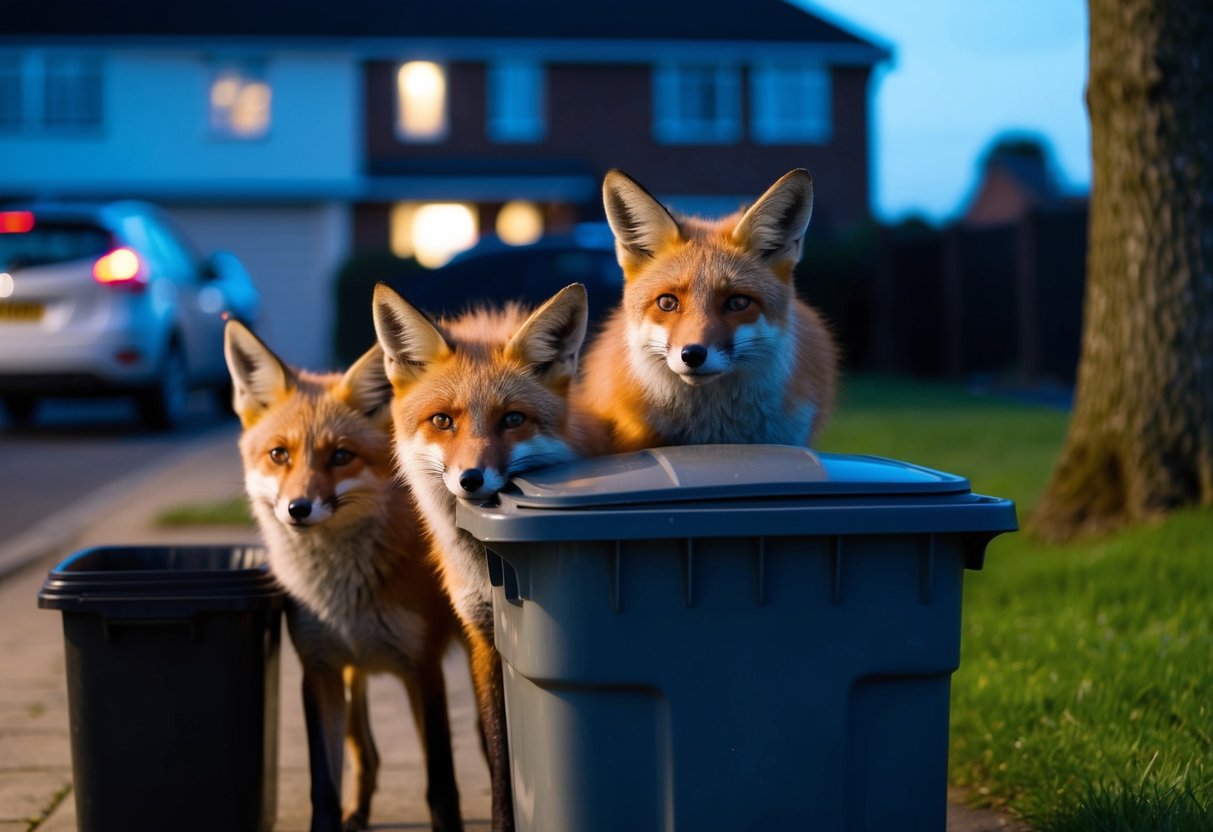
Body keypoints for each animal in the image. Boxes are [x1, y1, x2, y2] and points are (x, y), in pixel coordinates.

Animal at [223, 320, 465, 832]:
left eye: (340, 457)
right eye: (279, 454)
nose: (298, 508)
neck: (340, 595)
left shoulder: (423, 668)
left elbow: (441, 786)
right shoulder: (320, 669)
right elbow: (324, 788)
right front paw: (336, 815)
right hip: (352, 673)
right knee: (366, 752)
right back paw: (360, 810)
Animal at [371, 282, 603, 832]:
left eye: (512, 419)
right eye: (443, 421)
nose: (471, 478)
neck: (486, 568)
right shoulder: (481, 635)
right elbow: (501, 757)